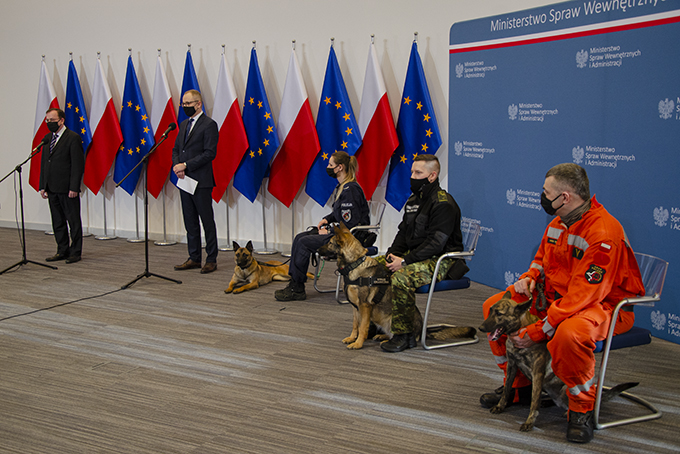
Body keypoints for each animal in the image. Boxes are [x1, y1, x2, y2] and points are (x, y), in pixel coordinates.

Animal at [479, 291, 636, 432]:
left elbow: (534, 401)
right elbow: (506, 389)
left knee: (583, 404)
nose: (480, 328)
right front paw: (501, 405)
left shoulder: (537, 373)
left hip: (566, 391)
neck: (522, 328)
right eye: (491, 310)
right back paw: (546, 402)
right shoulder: (512, 365)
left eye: (499, 314)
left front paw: (530, 422)